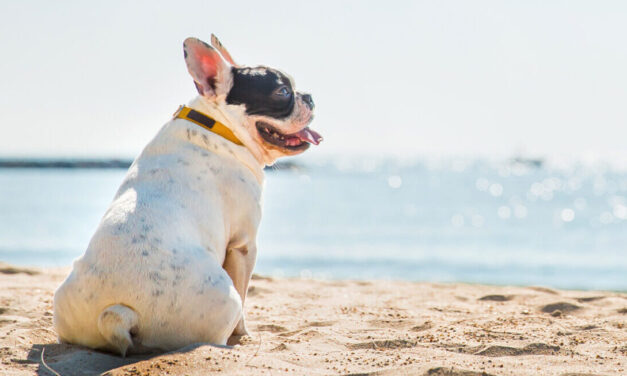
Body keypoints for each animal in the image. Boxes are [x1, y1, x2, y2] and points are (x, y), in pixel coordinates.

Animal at [52, 34, 324, 356]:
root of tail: (119, 313)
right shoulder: (244, 245)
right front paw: (244, 334)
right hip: (224, 300)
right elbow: (245, 294)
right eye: (283, 92)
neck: (219, 126)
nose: (309, 96)